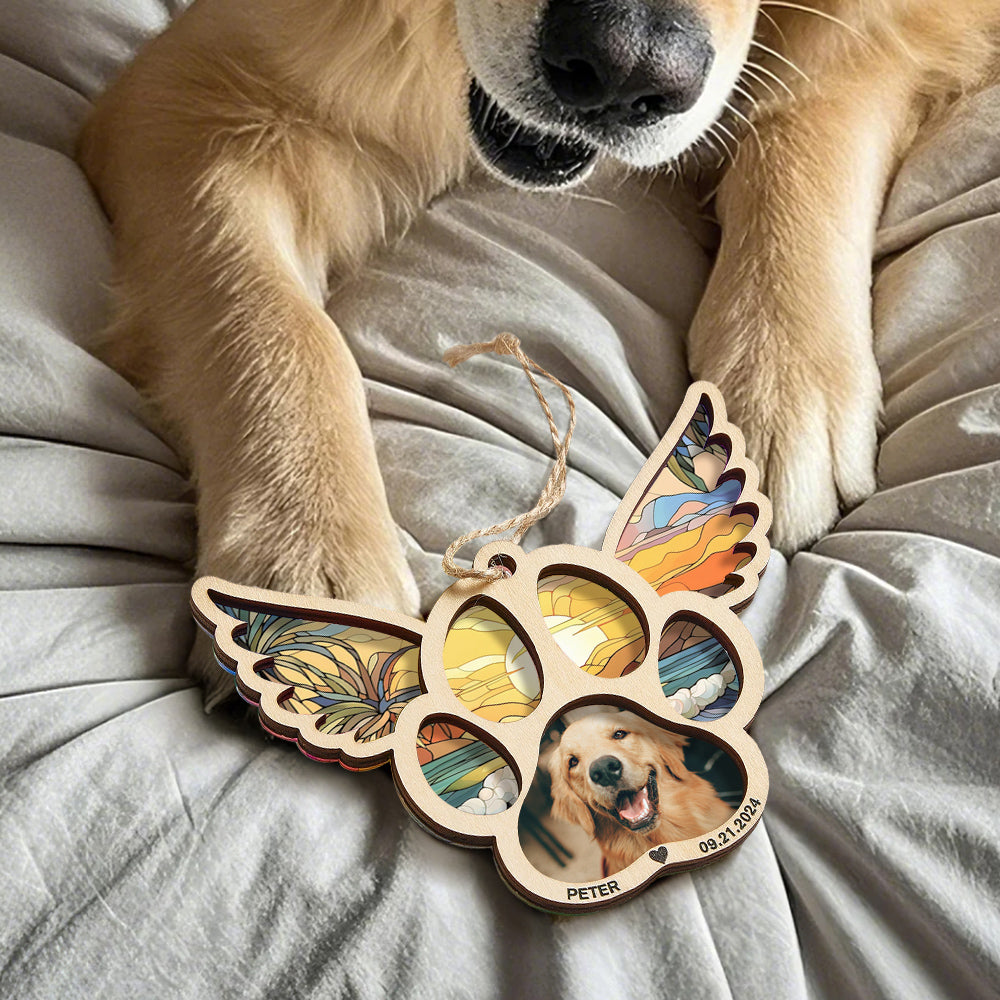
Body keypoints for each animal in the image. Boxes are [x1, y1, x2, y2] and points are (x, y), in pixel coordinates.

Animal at [78, 0, 1000, 704]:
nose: (626, 69)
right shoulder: (197, 94)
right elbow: (274, 319)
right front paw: (304, 563)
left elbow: (811, 102)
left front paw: (786, 376)